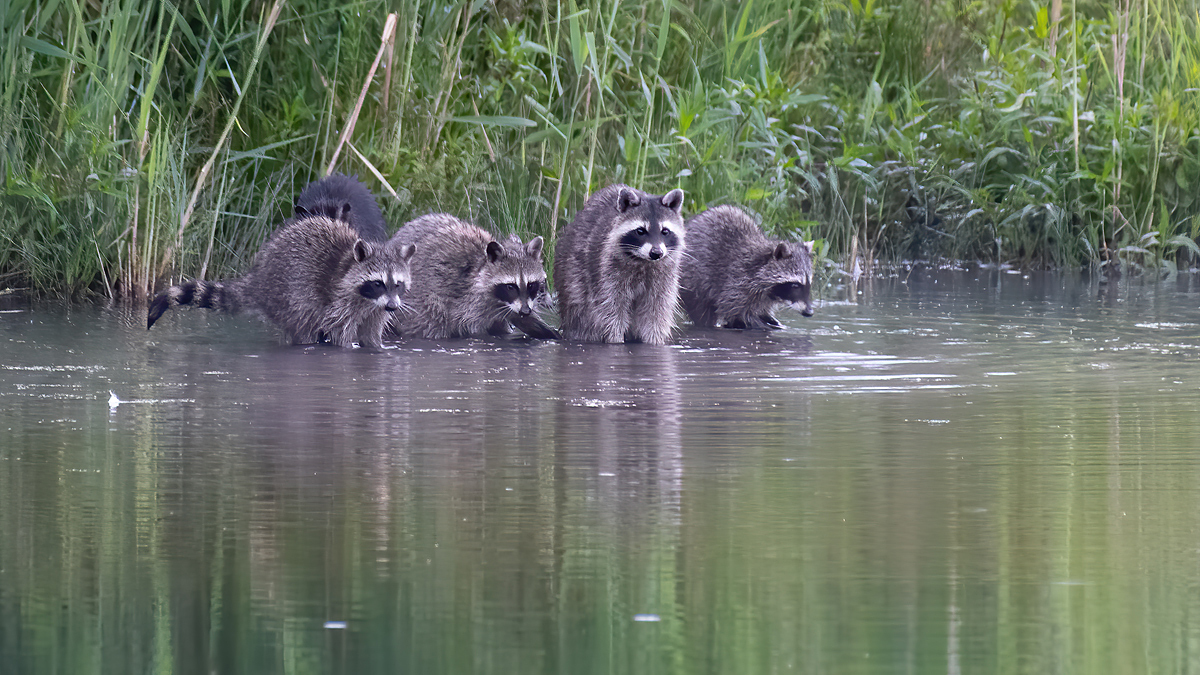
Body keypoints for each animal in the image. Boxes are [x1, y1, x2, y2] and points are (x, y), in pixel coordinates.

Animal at [148, 213, 417, 345]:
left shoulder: (377, 309)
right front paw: (346, 347)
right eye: (377, 283)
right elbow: (340, 332)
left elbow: (371, 333)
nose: (393, 306)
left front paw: (378, 348)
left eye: (398, 284)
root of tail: (260, 278)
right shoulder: (340, 301)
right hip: (291, 295)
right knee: (304, 323)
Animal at [386, 212, 559, 338]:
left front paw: (550, 332)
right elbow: (468, 325)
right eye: (511, 286)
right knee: (431, 318)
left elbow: (527, 322)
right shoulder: (468, 301)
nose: (525, 311)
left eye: (531, 285)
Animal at [552, 182, 686, 343]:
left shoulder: (663, 278)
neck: (643, 261)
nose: (656, 253)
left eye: (665, 231)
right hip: (573, 276)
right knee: (581, 312)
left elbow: (656, 312)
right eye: (640, 231)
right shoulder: (607, 272)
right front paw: (615, 340)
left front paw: (654, 342)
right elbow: (611, 310)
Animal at [676, 205, 816, 331]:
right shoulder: (739, 279)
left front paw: (770, 320)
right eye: (795, 286)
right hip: (693, 279)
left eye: (809, 284)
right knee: (702, 309)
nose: (809, 312)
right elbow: (733, 309)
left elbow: (761, 311)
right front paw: (761, 325)